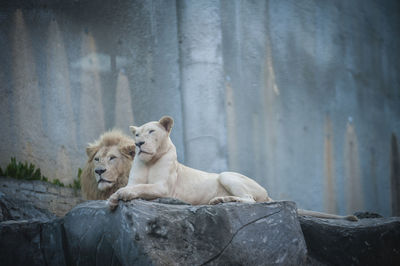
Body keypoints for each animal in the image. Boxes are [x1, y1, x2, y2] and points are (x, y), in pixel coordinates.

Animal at [108, 116, 358, 220]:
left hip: (227, 174)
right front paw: (111, 199)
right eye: (137, 134)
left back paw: (222, 200)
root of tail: (267, 193)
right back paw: (220, 201)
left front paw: (118, 196)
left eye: (151, 131)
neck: (149, 160)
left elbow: (136, 189)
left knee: (250, 200)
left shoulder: (162, 188)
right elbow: (133, 187)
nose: (139, 144)